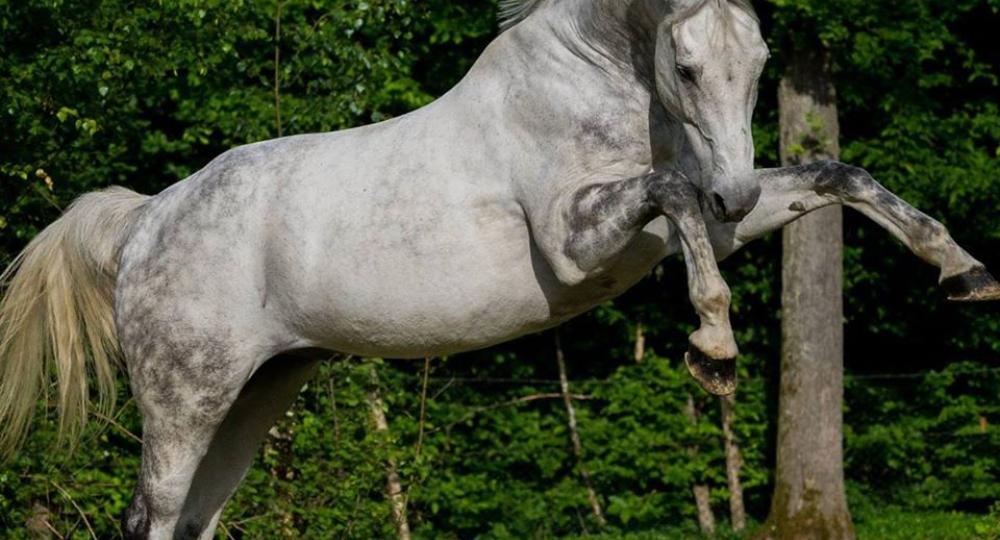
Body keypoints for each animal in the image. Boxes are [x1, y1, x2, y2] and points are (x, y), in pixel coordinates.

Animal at [1, 1, 1000, 536]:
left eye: (756, 60)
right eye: (684, 64)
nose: (736, 191)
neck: (595, 82)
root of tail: (146, 219)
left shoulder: (711, 220)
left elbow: (836, 175)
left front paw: (962, 270)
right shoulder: (580, 239)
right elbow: (672, 192)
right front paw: (713, 348)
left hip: (257, 393)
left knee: (194, 520)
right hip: (186, 398)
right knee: (155, 516)